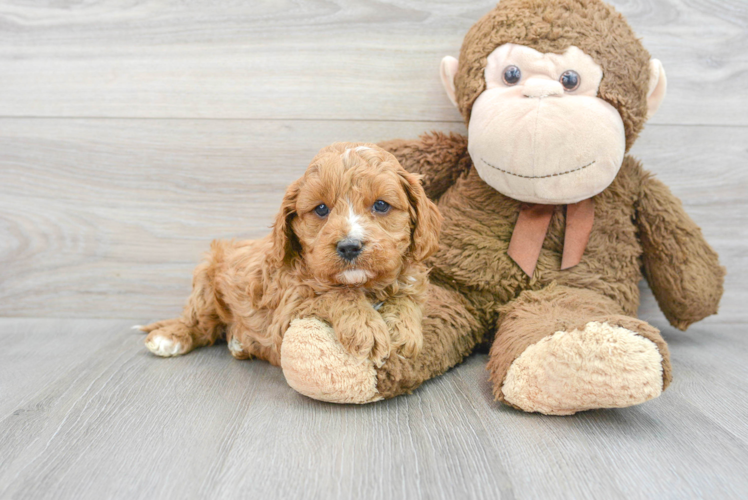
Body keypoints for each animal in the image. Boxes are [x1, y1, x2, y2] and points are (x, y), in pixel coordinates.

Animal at [137, 143, 442, 366]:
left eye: (381, 205)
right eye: (321, 209)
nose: (349, 246)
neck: (364, 284)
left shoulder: (410, 281)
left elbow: (406, 298)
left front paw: (403, 333)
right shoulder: (288, 309)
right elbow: (335, 294)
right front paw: (366, 327)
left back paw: (238, 342)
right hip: (206, 285)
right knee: (197, 323)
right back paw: (170, 337)